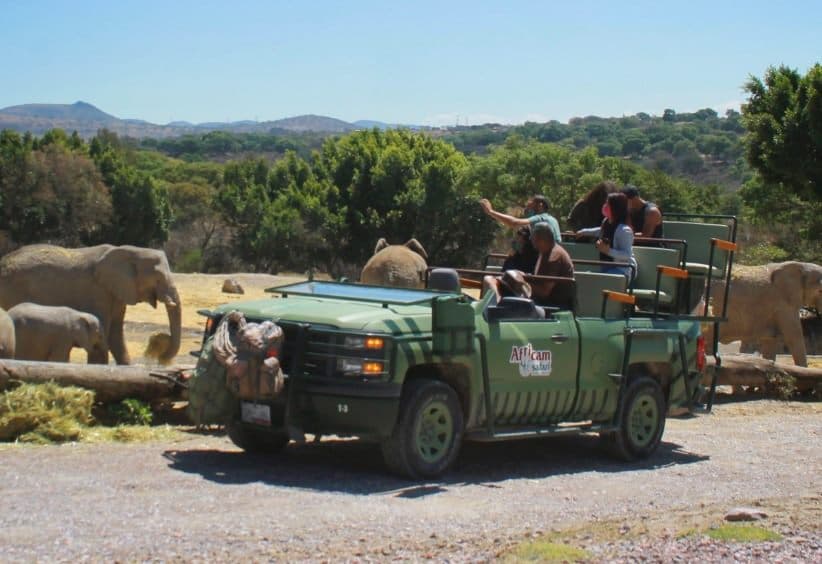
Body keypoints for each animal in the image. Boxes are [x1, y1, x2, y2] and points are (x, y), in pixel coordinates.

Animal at [0, 244, 181, 365]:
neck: (130, 251)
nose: (161, 356)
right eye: (158, 278)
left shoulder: (117, 291)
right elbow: (105, 332)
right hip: (13, 289)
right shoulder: (98, 292)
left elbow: (115, 335)